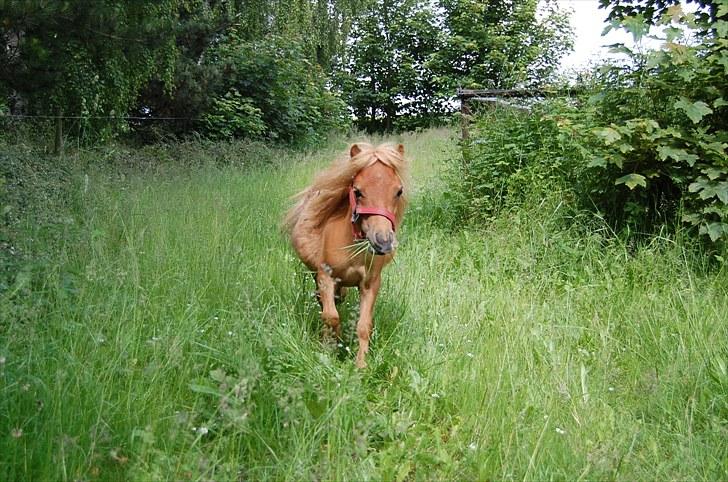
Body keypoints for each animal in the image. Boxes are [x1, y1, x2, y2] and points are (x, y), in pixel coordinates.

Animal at [286, 143, 410, 370]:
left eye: (399, 191)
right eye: (357, 191)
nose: (382, 241)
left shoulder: (370, 284)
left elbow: (364, 325)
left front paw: (361, 365)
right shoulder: (325, 276)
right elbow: (331, 317)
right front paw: (330, 347)